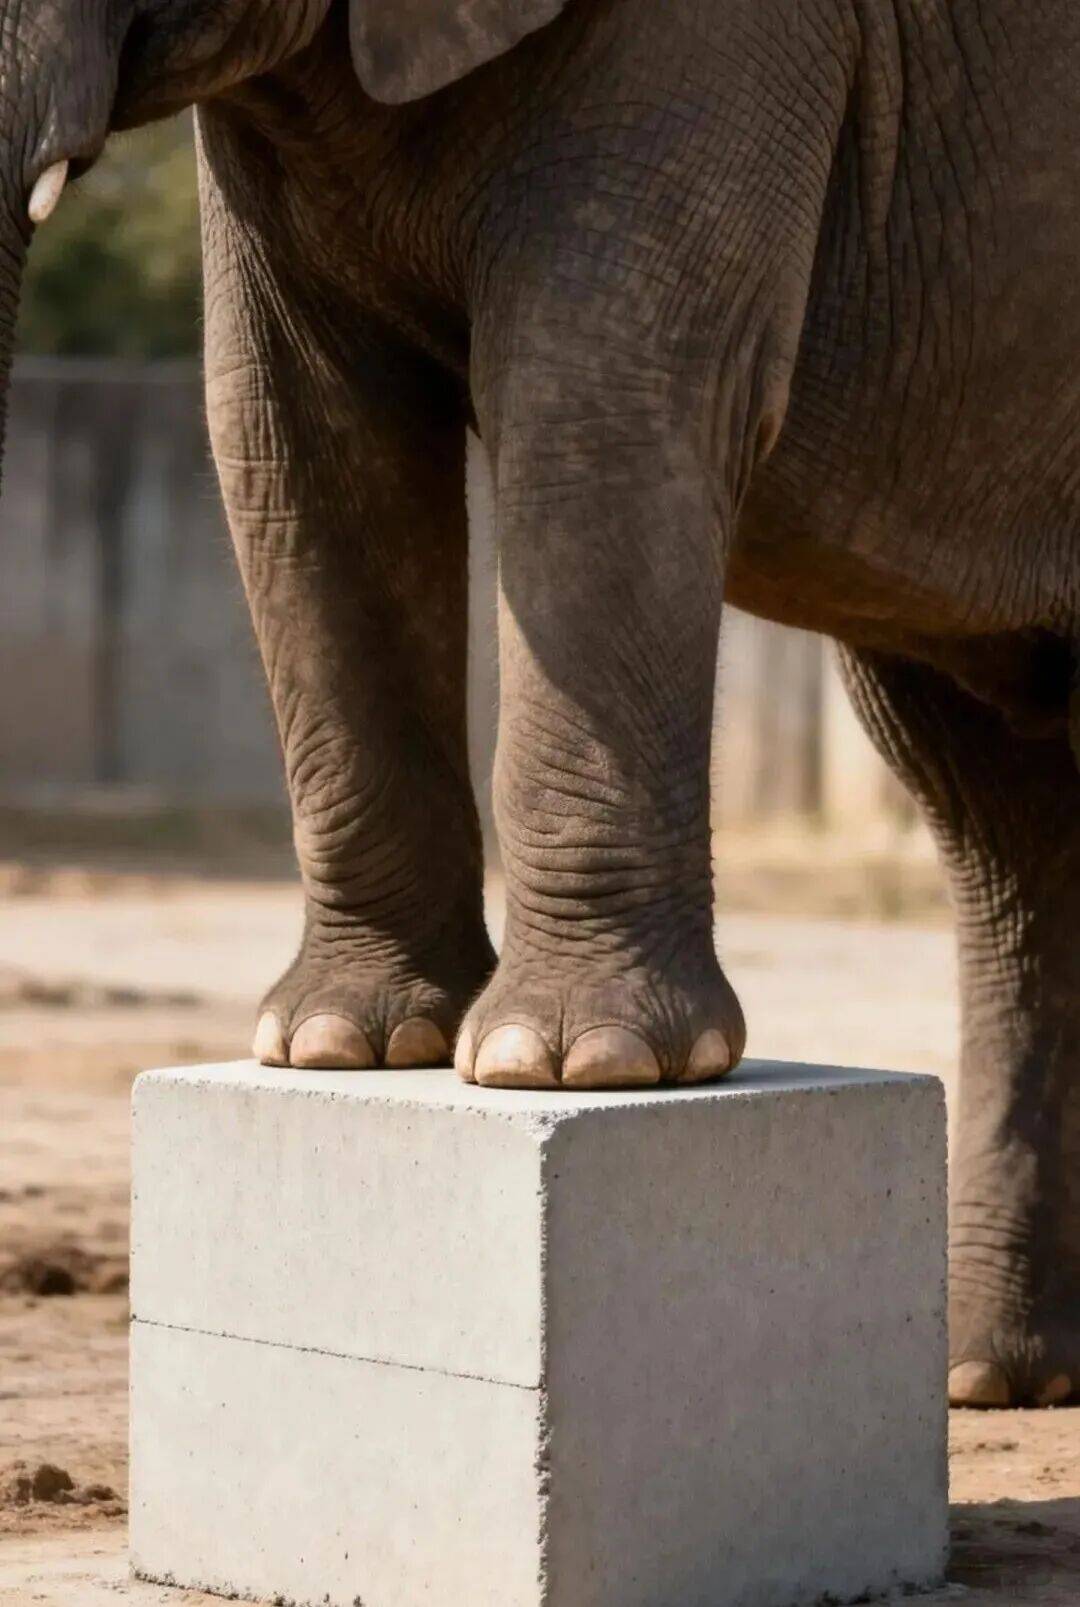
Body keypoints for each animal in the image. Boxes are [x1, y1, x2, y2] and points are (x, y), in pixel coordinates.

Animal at [1, 0, 1078, 1411]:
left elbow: (596, 410)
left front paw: (571, 1068)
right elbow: (295, 435)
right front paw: (341, 1047)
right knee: (993, 812)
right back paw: (980, 1376)